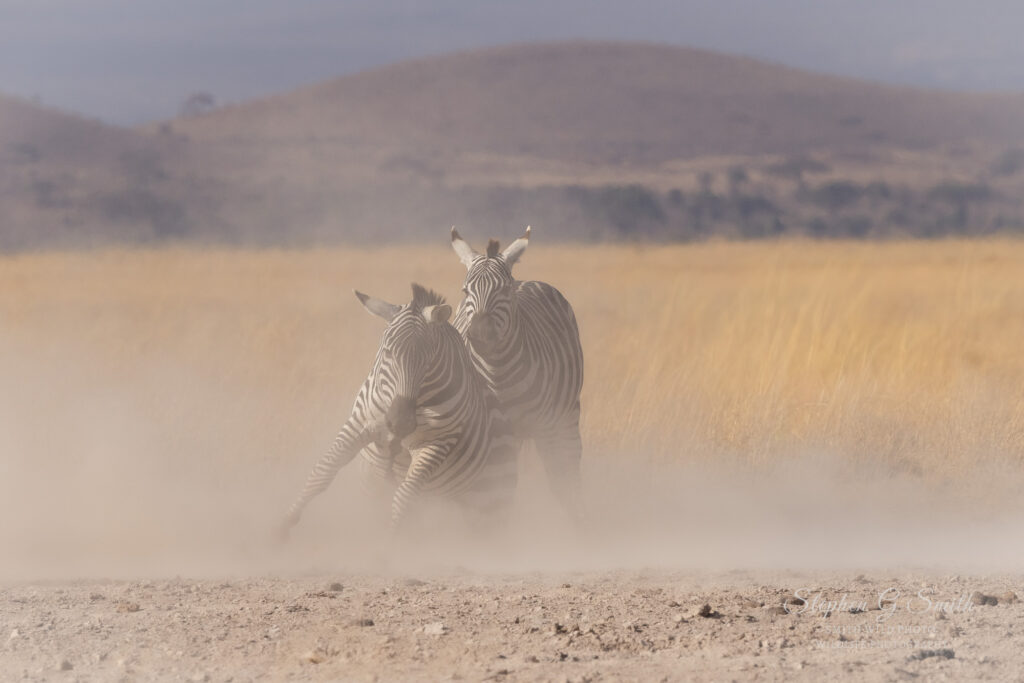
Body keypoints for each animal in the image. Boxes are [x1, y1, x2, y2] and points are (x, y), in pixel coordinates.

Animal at [279, 283, 518, 538]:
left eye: (429, 361)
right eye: (387, 352)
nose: (400, 422)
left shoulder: (436, 443)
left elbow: (404, 497)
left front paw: (391, 543)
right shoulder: (360, 422)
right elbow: (323, 469)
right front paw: (282, 527)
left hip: (490, 502)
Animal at [450, 227, 585, 524]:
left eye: (503, 289)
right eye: (466, 290)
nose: (480, 334)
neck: (498, 376)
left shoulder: (547, 427)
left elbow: (559, 482)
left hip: (568, 414)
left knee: (569, 469)